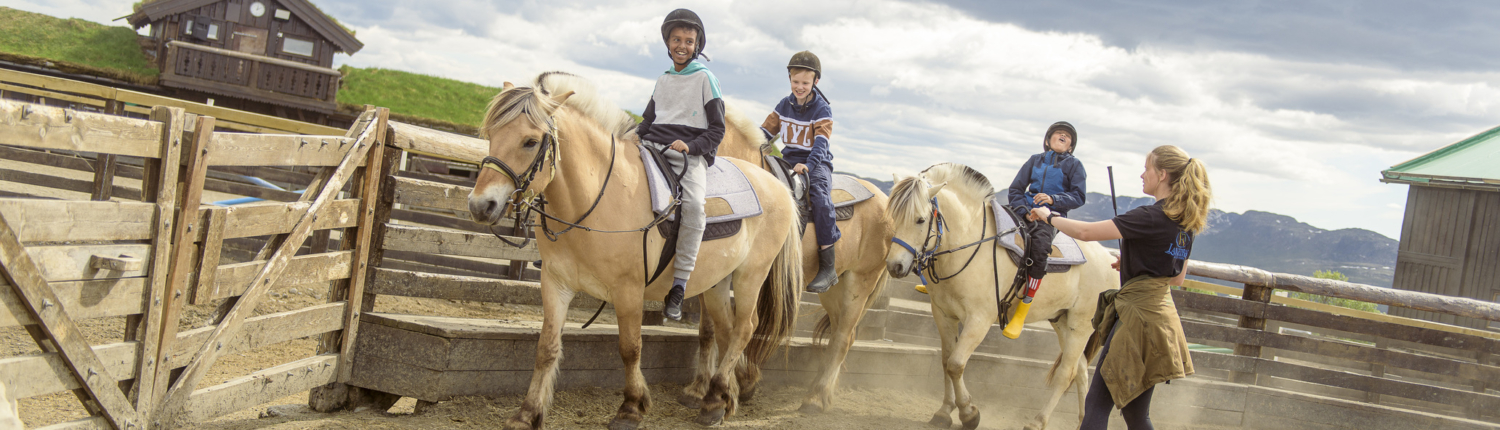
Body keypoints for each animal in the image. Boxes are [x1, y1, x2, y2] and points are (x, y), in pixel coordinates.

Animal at [465, 72, 804, 428]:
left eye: (530, 141)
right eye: (491, 134)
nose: (480, 205)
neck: (597, 196)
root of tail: (778, 186)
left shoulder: (628, 291)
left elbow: (630, 348)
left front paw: (631, 407)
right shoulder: (555, 284)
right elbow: (546, 347)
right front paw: (527, 413)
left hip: (751, 275)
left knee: (744, 328)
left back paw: (716, 395)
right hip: (716, 282)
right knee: (725, 329)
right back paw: (719, 400)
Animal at [675, 103, 894, 413]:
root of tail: (885, 201)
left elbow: (735, 327)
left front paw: (739, 383)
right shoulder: (714, 275)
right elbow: (710, 329)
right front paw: (700, 389)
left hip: (860, 281)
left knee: (842, 337)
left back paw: (815, 398)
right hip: (835, 287)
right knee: (844, 334)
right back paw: (824, 391)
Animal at [882, 164, 1122, 430]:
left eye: (921, 219)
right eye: (893, 216)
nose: (894, 266)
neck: (970, 241)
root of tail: (1109, 259)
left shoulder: (979, 320)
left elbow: (956, 364)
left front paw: (969, 413)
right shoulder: (944, 314)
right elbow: (946, 362)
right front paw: (945, 411)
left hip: (1080, 326)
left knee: (1065, 374)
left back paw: (1038, 421)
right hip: (1062, 322)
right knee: (1079, 371)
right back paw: (1081, 421)